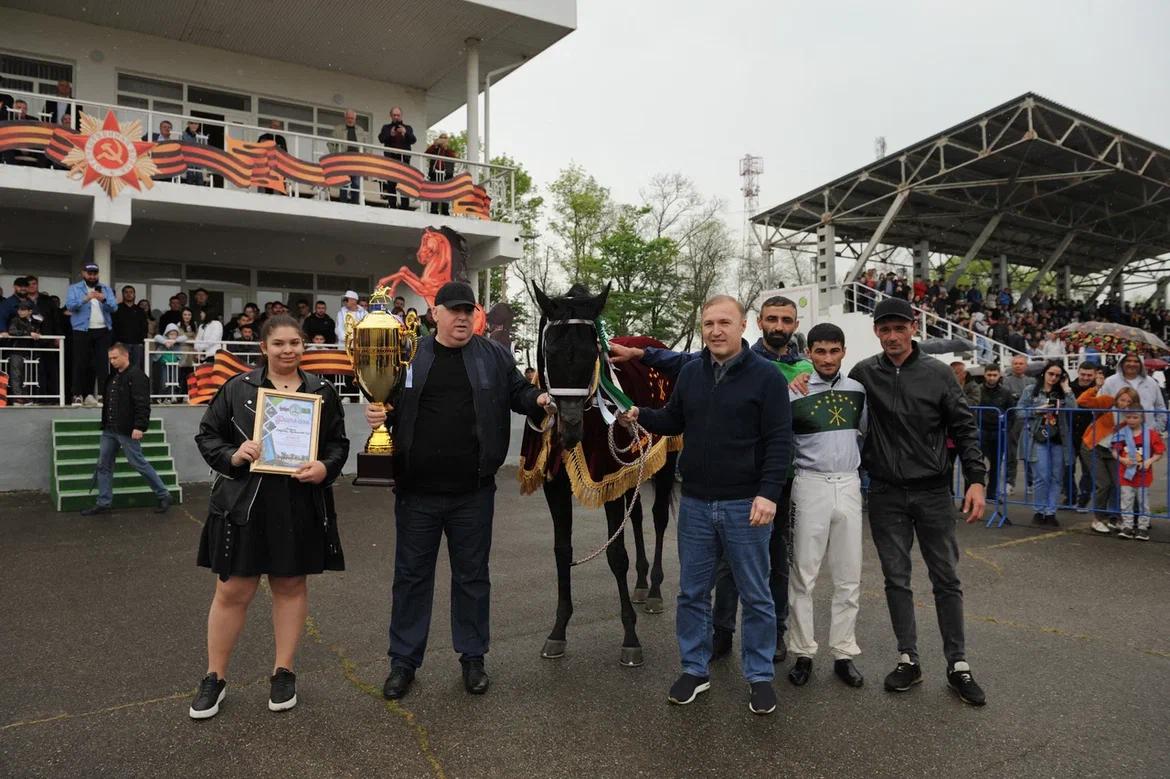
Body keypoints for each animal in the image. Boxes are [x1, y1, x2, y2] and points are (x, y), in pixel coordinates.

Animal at [518, 282, 681, 667]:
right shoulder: (558, 486)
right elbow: (562, 550)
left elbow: (616, 554)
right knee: (637, 517)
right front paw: (558, 631)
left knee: (658, 517)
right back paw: (641, 584)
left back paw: (653, 589)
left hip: (666, 459)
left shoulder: (607, 478)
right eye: (550, 349)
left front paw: (630, 637)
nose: (569, 429)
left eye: (592, 349)